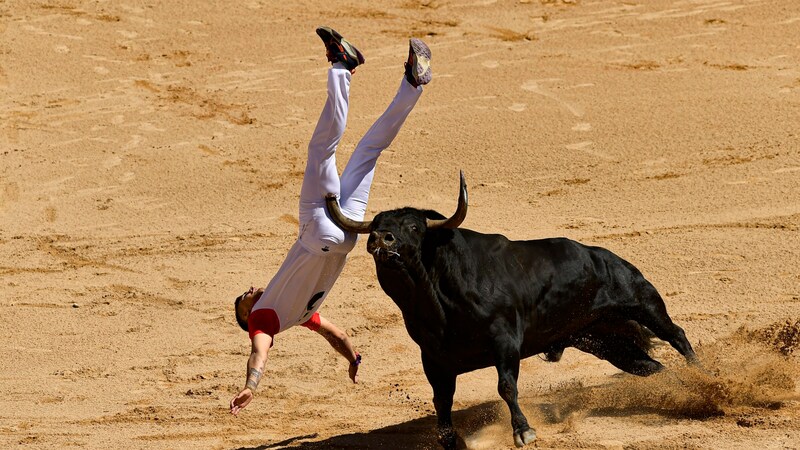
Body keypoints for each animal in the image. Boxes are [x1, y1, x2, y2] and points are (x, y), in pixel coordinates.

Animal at [322, 171, 696, 448]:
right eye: (375, 226)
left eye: (414, 227)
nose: (381, 240)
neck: (437, 302)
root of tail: (610, 257)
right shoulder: (434, 359)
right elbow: (442, 400)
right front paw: (449, 439)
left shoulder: (505, 342)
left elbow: (506, 386)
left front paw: (523, 431)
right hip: (603, 339)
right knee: (650, 366)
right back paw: (684, 389)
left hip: (642, 301)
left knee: (676, 334)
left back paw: (701, 373)